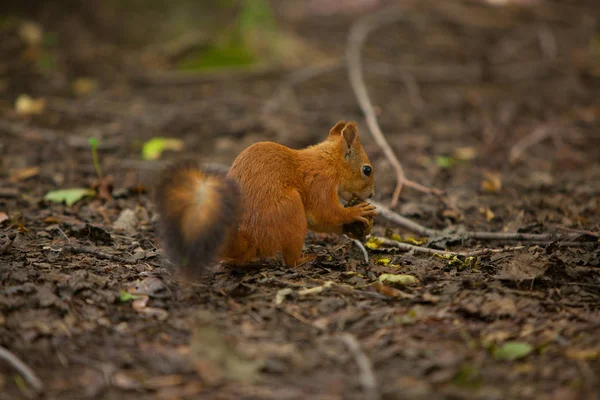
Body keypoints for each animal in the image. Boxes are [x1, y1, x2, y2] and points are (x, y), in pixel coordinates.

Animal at [155, 119, 378, 276]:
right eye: (367, 170)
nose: (372, 194)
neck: (328, 162)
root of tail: (250, 236)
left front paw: (352, 230)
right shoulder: (319, 183)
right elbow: (325, 214)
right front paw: (356, 211)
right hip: (291, 210)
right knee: (290, 260)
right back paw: (306, 259)